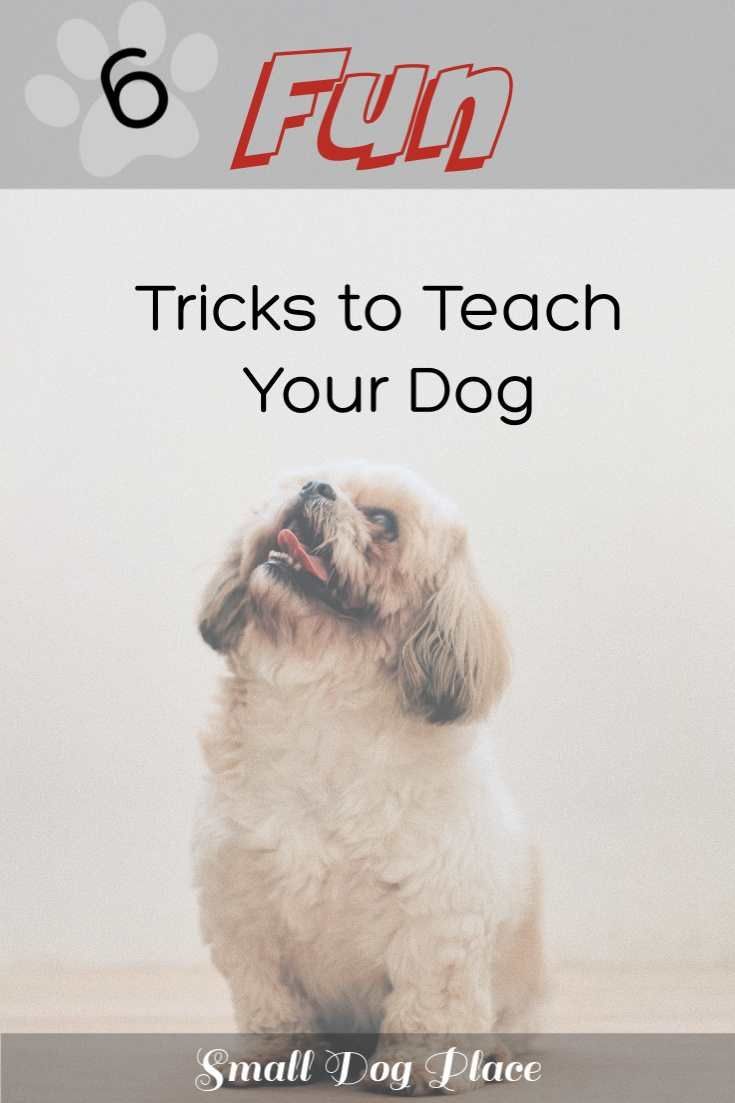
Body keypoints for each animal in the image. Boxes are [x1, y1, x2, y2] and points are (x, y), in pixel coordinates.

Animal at [192, 461, 540, 1089]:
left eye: (383, 521)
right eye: (305, 480)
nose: (315, 490)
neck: (320, 705)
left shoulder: (438, 919)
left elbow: (428, 1001)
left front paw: (416, 1069)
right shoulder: (243, 911)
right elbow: (268, 998)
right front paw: (272, 1056)